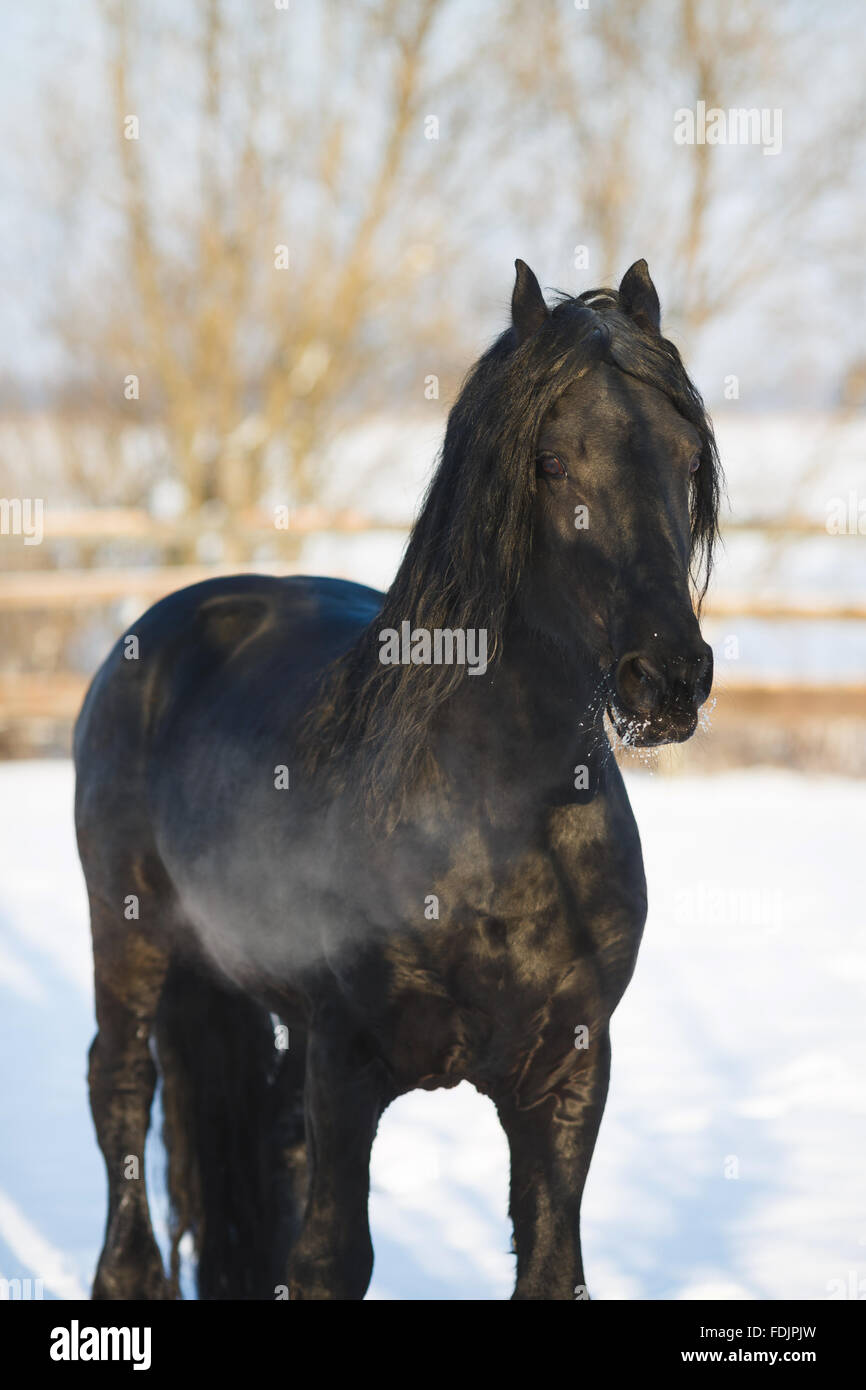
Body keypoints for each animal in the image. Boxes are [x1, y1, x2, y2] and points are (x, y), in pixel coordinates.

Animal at [75, 257, 721, 1301]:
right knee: (123, 1094)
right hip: (129, 939)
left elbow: (552, 1259)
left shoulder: (569, 1073)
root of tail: (159, 630)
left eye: (687, 458)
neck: (496, 825)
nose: (666, 679)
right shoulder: (348, 1061)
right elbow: (334, 1257)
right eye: (550, 463)